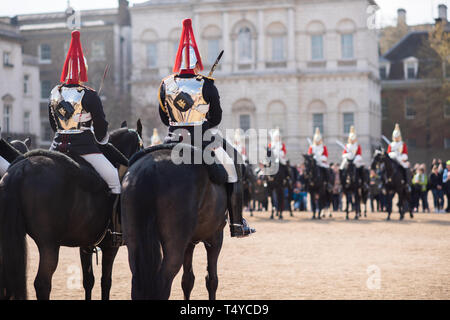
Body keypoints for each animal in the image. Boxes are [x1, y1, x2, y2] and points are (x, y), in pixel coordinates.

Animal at [0, 120, 142, 300]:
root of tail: (22, 168)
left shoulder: (86, 244)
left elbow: (89, 280)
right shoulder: (111, 246)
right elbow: (106, 281)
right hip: (49, 245)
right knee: (42, 284)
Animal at [121, 143, 234, 300]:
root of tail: (150, 167)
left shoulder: (190, 243)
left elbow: (187, 280)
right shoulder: (215, 237)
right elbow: (212, 280)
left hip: (134, 244)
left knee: (137, 281)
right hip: (176, 246)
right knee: (163, 282)